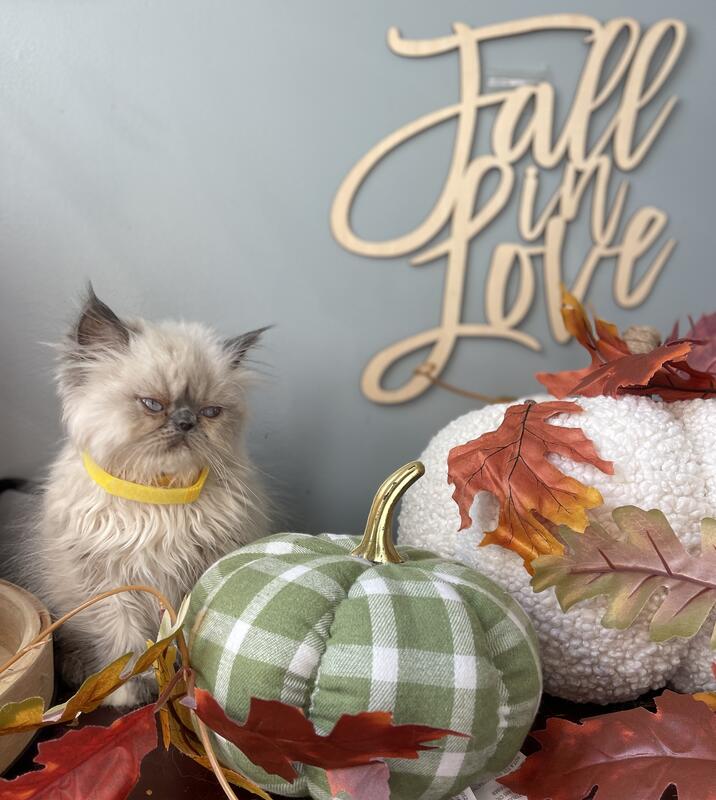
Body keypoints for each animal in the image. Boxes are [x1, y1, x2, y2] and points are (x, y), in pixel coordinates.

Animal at [32, 287, 271, 706]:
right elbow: (125, 643)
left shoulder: (195, 573)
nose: (186, 421)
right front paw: (132, 688)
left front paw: (182, 680)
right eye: (152, 404)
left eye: (211, 412)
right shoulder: (107, 584)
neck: (159, 494)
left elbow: (180, 638)